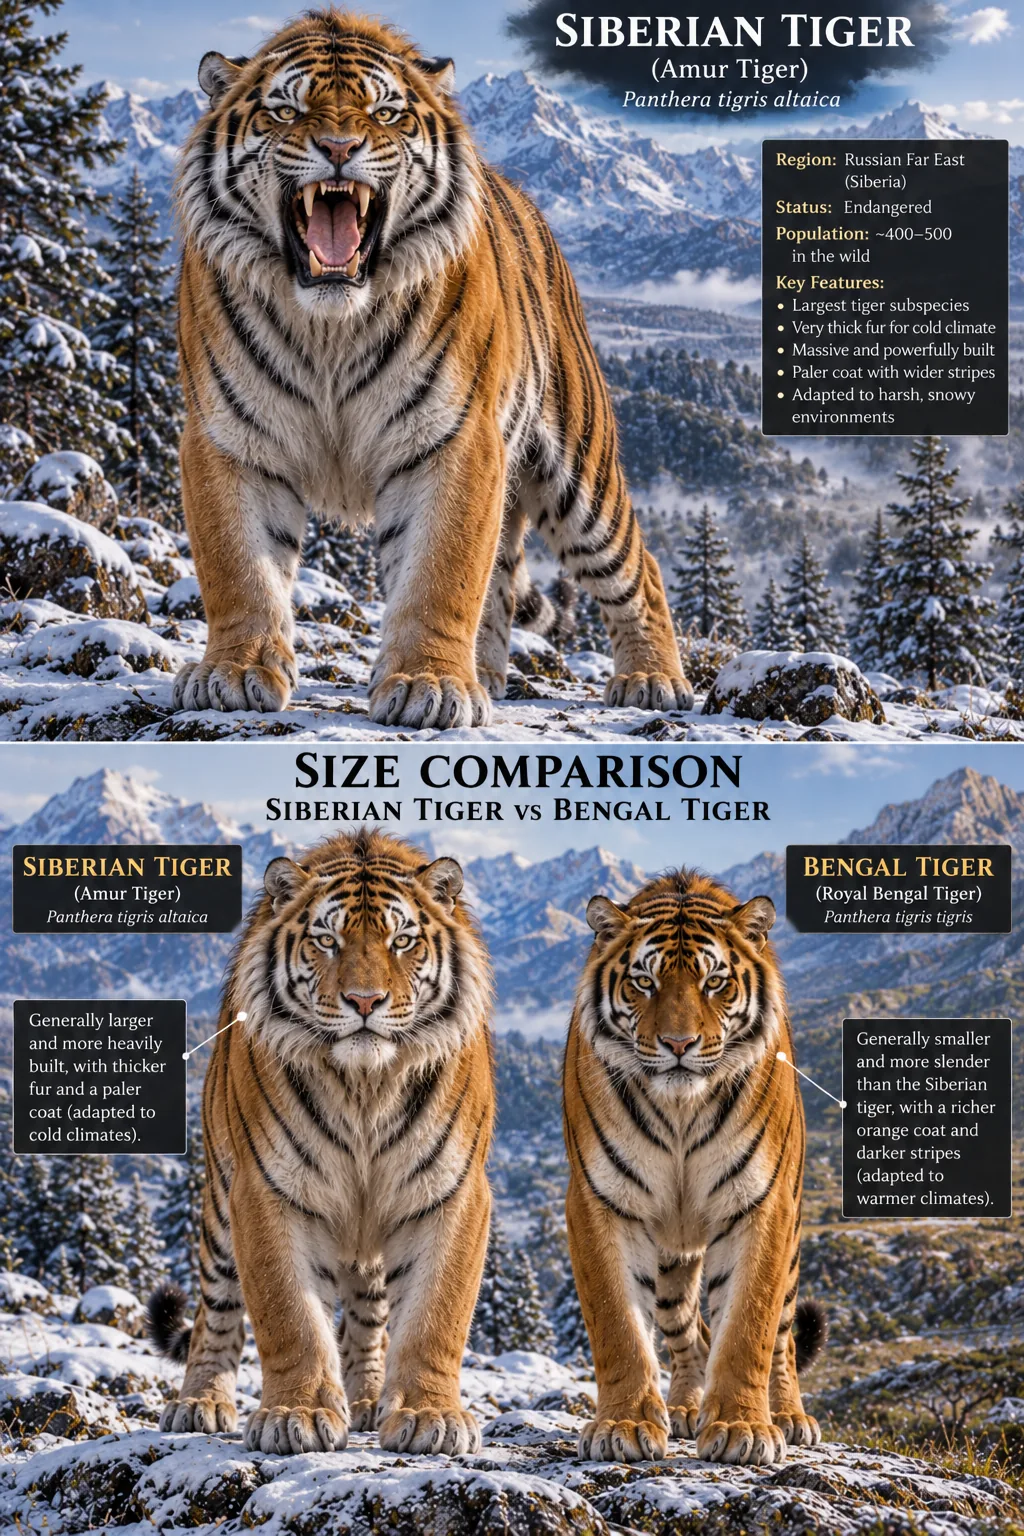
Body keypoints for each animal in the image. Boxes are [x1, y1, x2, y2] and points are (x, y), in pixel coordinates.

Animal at [147, 828, 494, 1456]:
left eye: (403, 941)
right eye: (326, 941)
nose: (364, 1001)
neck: (365, 1087)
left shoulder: (452, 1192)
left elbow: (437, 1312)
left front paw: (429, 1415)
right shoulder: (266, 1190)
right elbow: (289, 1313)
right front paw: (299, 1414)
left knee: (369, 1318)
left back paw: (369, 1400)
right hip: (218, 1206)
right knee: (215, 1311)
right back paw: (199, 1402)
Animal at [170, 8, 692, 728]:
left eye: (385, 113)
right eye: (286, 110)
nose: (338, 147)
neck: (330, 327)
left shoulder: (455, 439)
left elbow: (441, 572)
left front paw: (430, 684)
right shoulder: (228, 438)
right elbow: (240, 568)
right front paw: (236, 671)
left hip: (583, 476)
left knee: (640, 566)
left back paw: (652, 680)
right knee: (503, 582)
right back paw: (490, 676)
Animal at [562, 869, 825, 1467]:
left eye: (715, 982)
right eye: (644, 982)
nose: (678, 1044)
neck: (681, 1107)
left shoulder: (761, 1204)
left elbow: (748, 1325)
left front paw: (742, 1427)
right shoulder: (598, 1201)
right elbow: (618, 1324)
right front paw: (624, 1425)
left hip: (793, 1234)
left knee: (782, 1335)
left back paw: (789, 1416)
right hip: (671, 1262)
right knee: (686, 1333)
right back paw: (683, 1407)